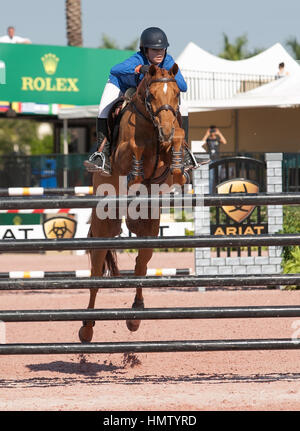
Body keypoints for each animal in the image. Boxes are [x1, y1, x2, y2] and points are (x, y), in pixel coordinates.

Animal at [79, 62, 192, 344]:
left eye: (177, 94)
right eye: (151, 96)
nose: (165, 130)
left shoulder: (164, 163)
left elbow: (177, 142)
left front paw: (179, 162)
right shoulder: (123, 155)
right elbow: (135, 150)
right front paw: (136, 172)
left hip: (148, 229)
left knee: (141, 265)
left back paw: (135, 316)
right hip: (104, 227)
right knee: (96, 273)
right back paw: (86, 328)